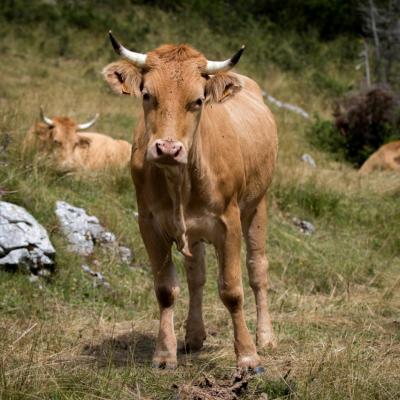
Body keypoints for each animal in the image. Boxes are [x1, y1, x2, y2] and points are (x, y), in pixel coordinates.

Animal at [103, 32, 278, 372]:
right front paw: (164, 354)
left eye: (197, 101)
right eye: (147, 94)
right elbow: (166, 290)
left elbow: (232, 290)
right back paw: (194, 336)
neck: (179, 179)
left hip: (257, 205)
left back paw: (266, 337)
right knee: (196, 275)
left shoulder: (229, 223)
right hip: (194, 231)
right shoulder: (149, 224)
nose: (169, 149)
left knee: (257, 270)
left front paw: (248, 355)